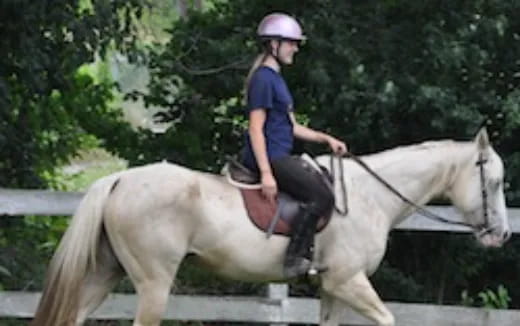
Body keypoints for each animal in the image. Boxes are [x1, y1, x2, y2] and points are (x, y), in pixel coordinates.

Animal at [33, 128, 512, 326]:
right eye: (493, 182)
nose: (502, 235)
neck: (370, 196)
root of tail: (120, 179)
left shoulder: (332, 290)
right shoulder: (349, 281)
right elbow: (389, 319)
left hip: (105, 273)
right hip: (154, 284)